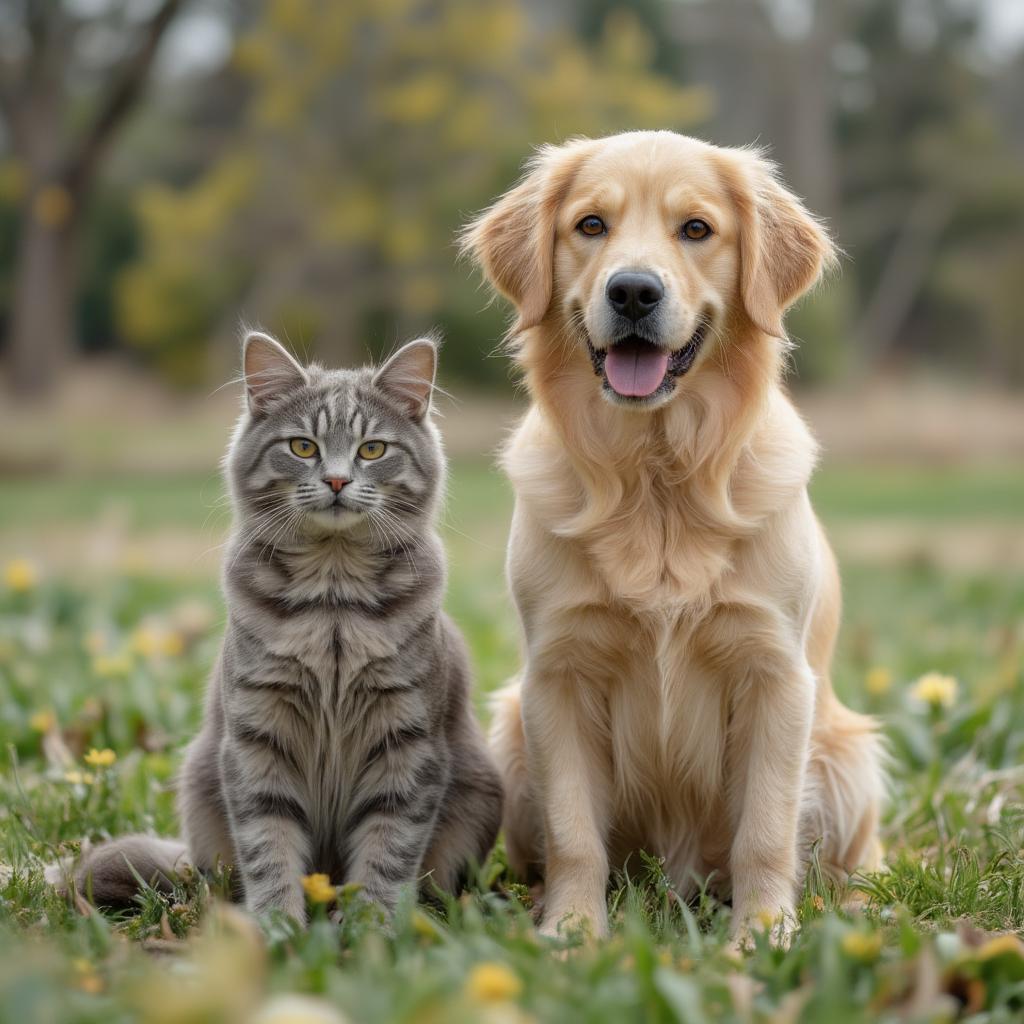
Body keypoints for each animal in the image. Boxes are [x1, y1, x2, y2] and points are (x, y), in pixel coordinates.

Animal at [58, 333, 499, 921]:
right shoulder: (256, 736)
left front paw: (371, 927)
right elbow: (268, 846)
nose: (336, 480)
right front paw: (278, 926)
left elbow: (388, 851)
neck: (333, 603)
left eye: (372, 450)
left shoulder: (408, 740)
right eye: (303, 447)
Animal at [466, 134, 888, 942]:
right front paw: (571, 933)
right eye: (590, 225)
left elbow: (765, 832)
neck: (656, 477)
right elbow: (574, 833)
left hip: (846, 759)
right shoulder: (557, 675)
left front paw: (763, 935)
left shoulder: (774, 674)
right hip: (507, 736)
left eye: (696, 229)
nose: (633, 292)